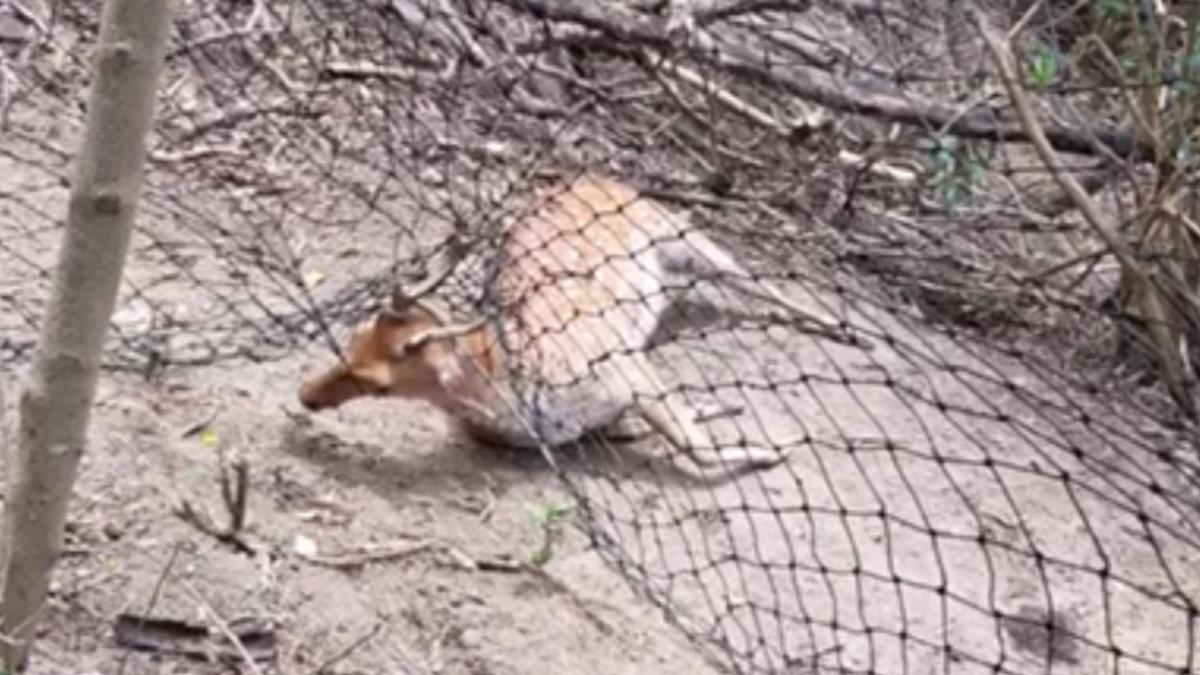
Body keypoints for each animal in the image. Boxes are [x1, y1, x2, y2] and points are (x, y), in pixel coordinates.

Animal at [298, 172, 864, 475]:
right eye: (349, 339)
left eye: (378, 384)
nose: (305, 395)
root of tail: (586, 174)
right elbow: (664, 426)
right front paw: (723, 411)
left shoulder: (628, 366)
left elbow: (692, 445)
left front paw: (777, 449)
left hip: (676, 231)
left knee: (757, 279)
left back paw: (841, 327)